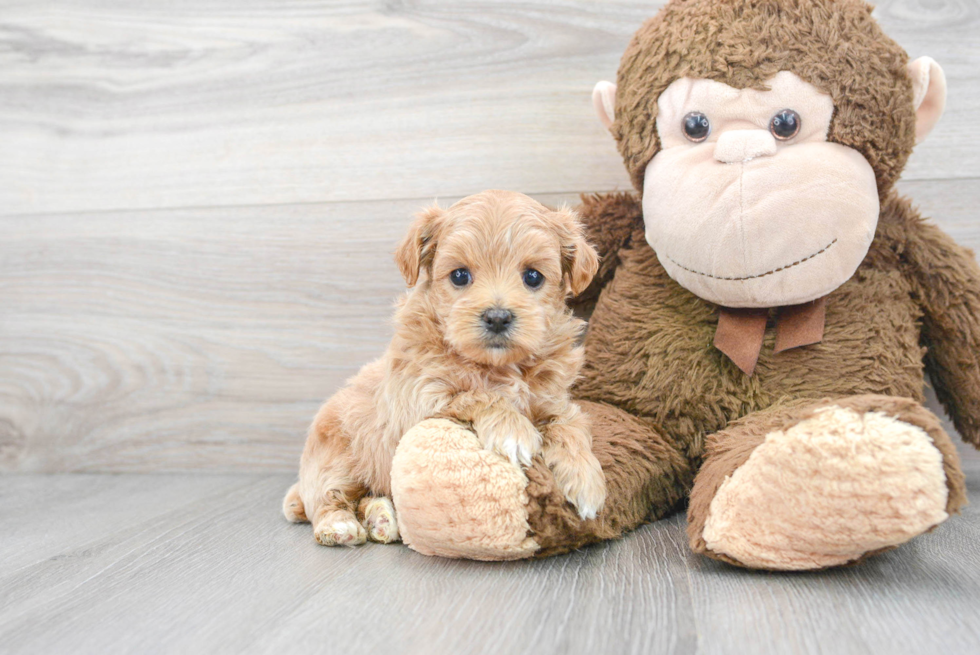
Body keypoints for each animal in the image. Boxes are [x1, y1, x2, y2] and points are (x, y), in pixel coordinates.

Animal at [282, 190, 604, 548]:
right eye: (460, 275)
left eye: (533, 276)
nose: (497, 317)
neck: (498, 366)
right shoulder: (418, 399)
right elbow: (477, 395)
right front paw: (513, 430)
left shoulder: (554, 401)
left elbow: (570, 426)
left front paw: (587, 479)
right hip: (337, 458)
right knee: (328, 498)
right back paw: (339, 525)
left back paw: (382, 518)